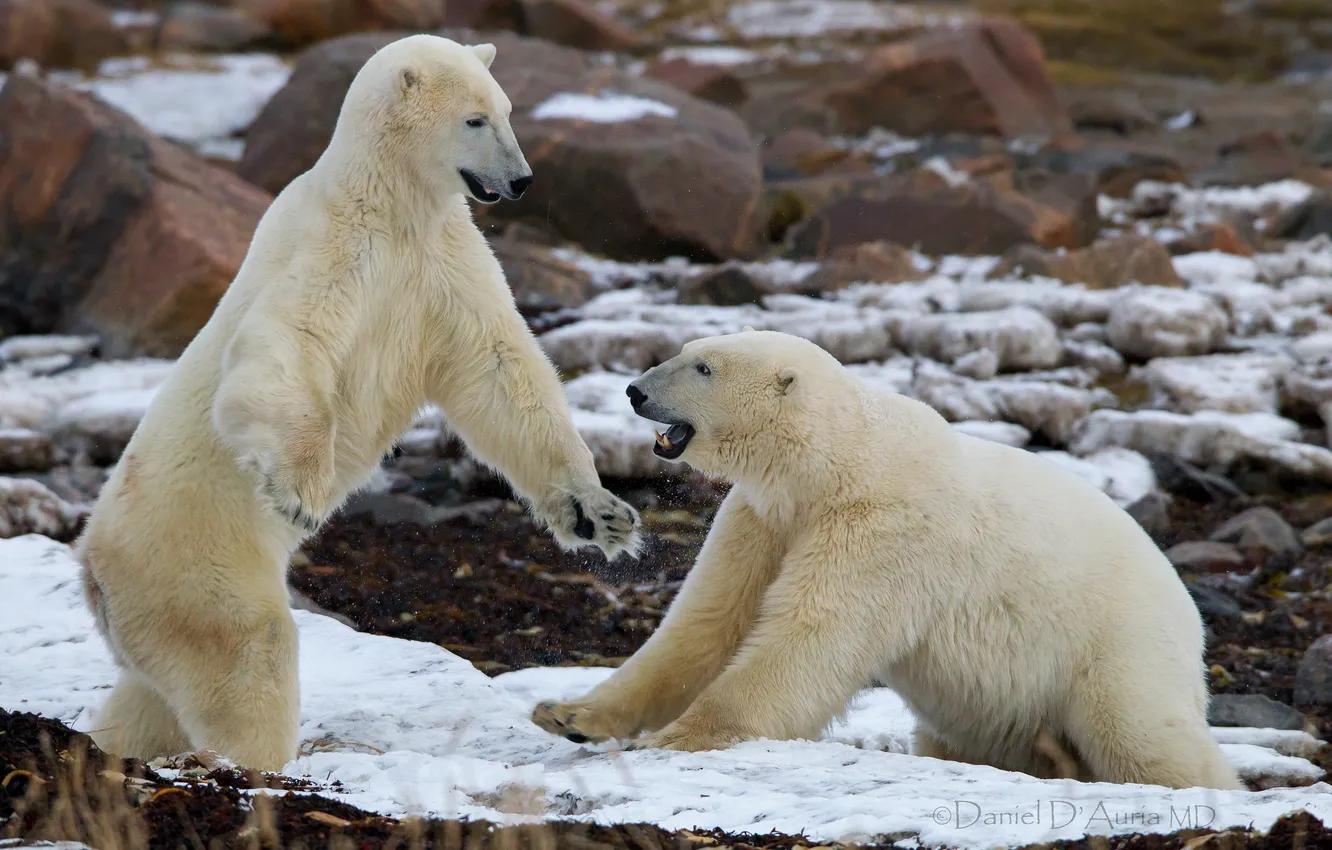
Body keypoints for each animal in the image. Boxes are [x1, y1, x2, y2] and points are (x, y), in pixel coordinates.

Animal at [77, 36, 639, 778]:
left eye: (507, 110)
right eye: (474, 120)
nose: (522, 181)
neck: (390, 201)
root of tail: (92, 565)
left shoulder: (444, 261)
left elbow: (501, 371)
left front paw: (600, 513)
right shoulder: (335, 247)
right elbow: (287, 342)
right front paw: (301, 492)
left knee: (151, 693)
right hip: (192, 562)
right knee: (247, 651)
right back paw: (252, 762)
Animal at [535, 331, 1241, 794]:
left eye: (703, 367)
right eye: (683, 351)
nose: (634, 390)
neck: (838, 462)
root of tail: (1187, 607)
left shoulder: (885, 530)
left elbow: (811, 637)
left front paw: (676, 737)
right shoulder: (765, 519)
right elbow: (708, 623)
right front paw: (568, 715)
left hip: (1115, 643)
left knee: (1141, 733)